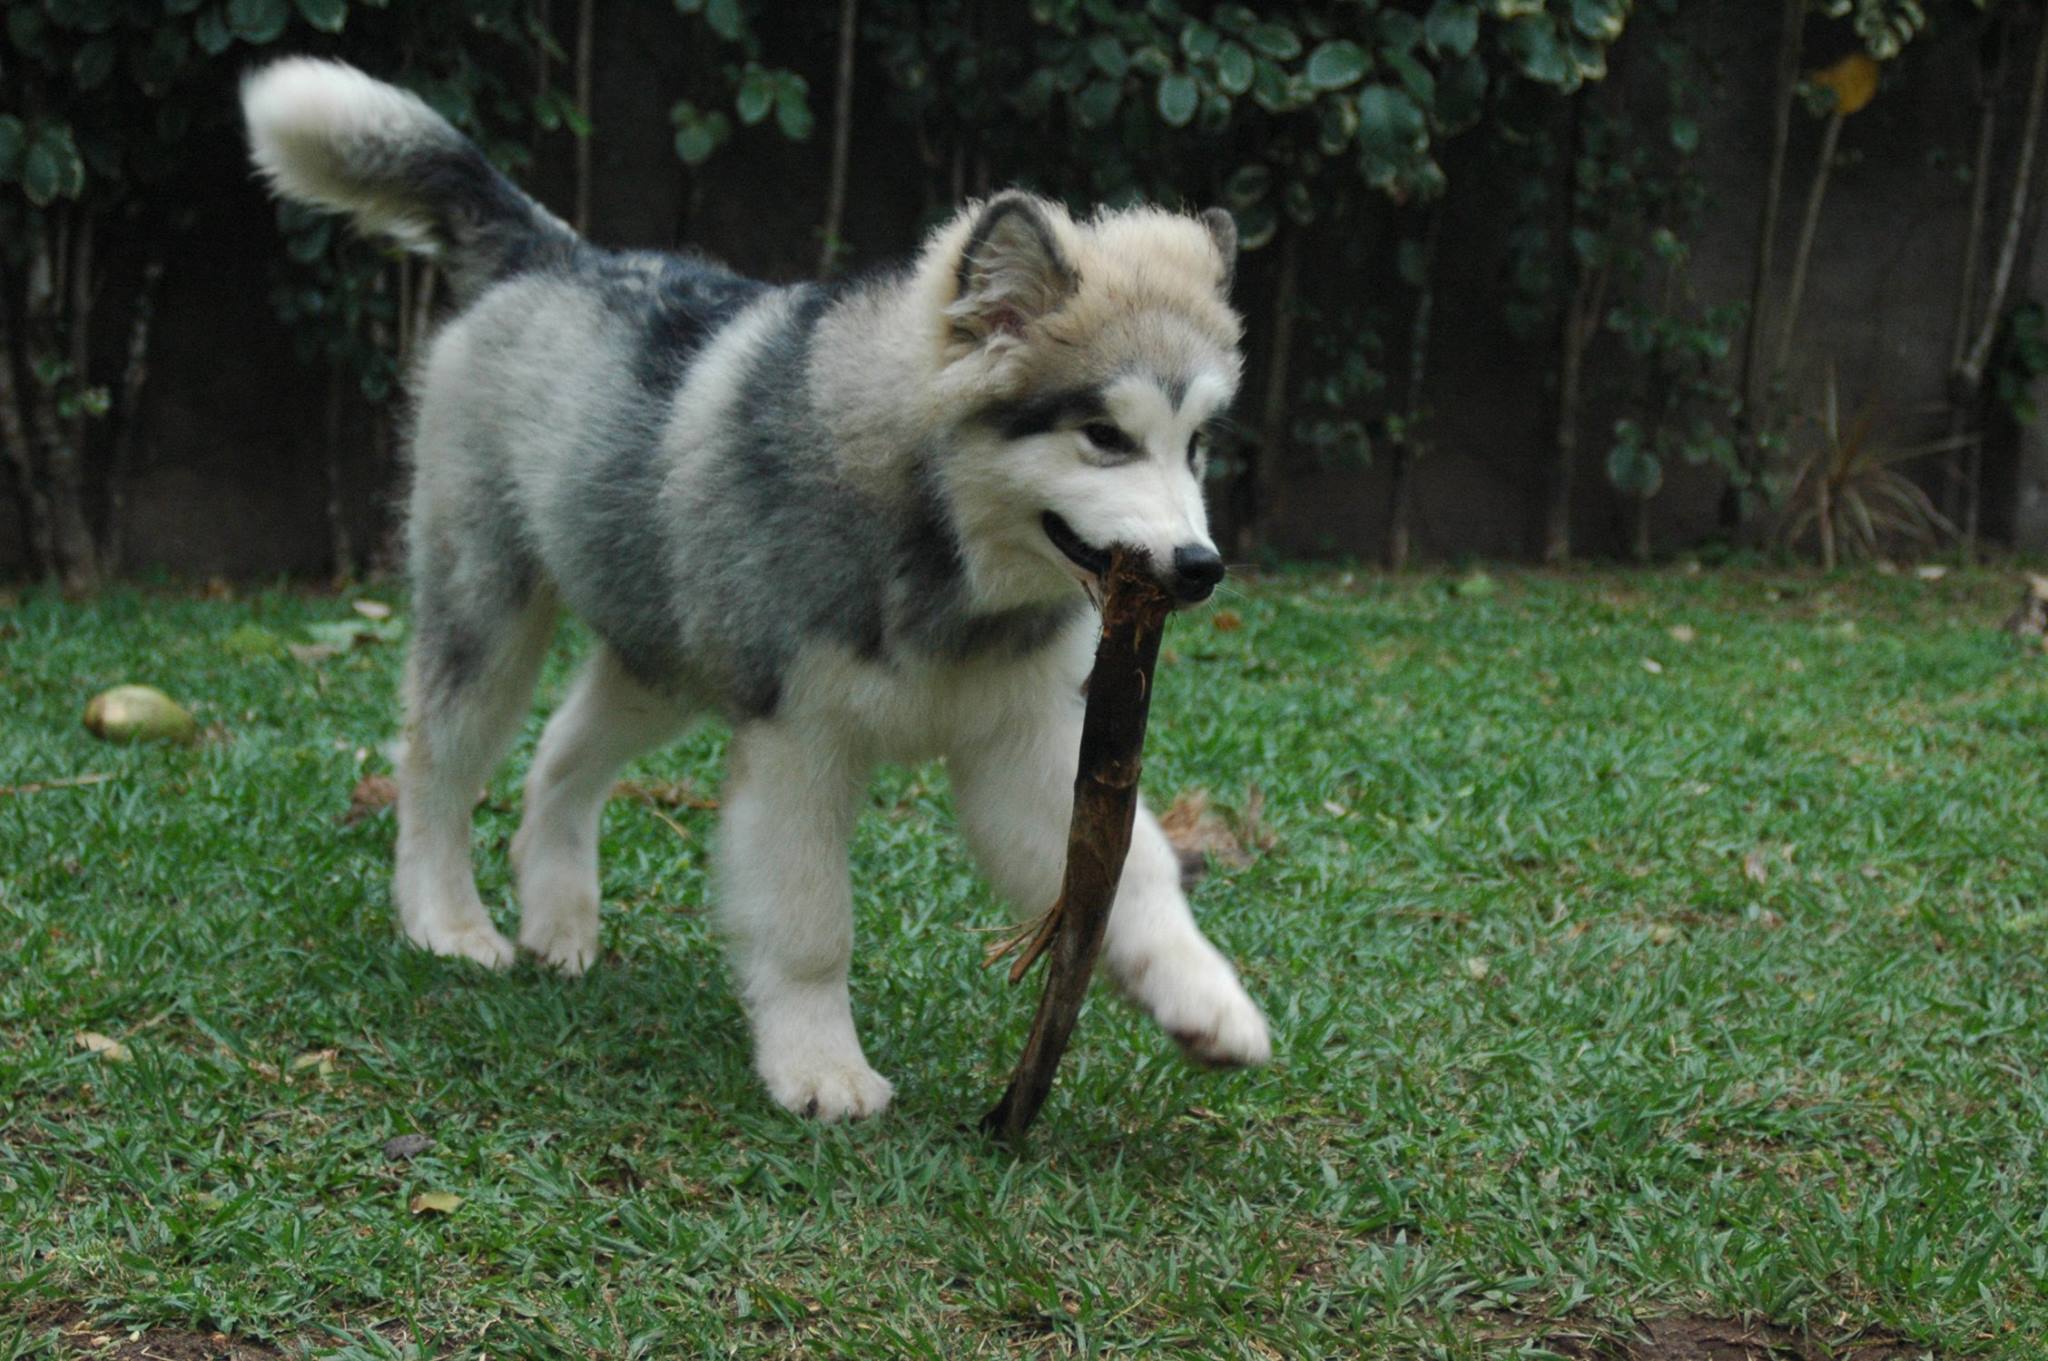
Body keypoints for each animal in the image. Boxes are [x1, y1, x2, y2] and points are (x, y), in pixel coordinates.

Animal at [242, 59, 1271, 1119]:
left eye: (1196, 444)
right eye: (1104, 436)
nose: (1200, 567)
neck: (942, 557)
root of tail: (558, 250)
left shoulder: (1021, 743)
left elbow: (1134, 873)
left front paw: (1202, 994)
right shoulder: (799, 738)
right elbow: (812, 919)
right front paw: (819, 1063)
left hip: (668, 653)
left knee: (560, 756)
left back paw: (558, 915)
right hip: (490, 609)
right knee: (436, 764)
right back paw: (444, 918)